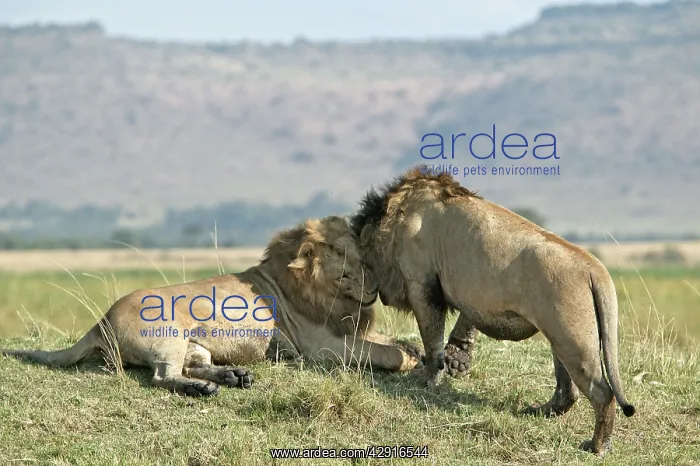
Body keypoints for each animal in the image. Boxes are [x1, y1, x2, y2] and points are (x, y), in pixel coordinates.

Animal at [1, 216, 422, 396]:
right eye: (346, 256)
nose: (374, 276)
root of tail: (100, 320)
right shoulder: (321, 347)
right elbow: (383, 353)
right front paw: (410, 360)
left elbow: (390, 340)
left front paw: (414, 348)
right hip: (168, 334)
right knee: (163, 376)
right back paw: (206, 389)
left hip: (195, 345)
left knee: (194, 366)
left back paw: (234, 376)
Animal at [349, 166, 636, 455]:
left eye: (364, 263)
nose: (366, 290)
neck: (396, 217)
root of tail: (594, 268)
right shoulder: (471, 293)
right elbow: (465, 320)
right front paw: (457, 359)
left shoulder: (422, 285)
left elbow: (431, 339)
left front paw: (428, 379)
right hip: (560, 337)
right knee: (568, 392)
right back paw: (540, 411)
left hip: (574, 342)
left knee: (603, 394)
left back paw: (596, 446)